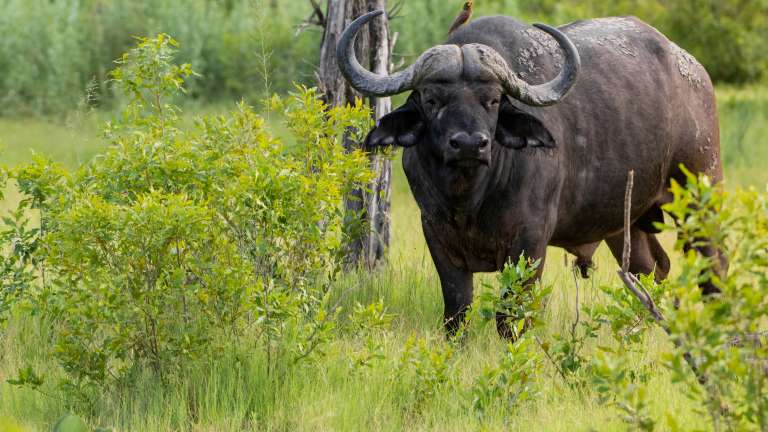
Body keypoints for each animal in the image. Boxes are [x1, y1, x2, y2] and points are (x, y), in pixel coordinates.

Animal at [337, 11, 725, 337]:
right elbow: (456, 311)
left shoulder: (531, 240)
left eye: (493, 100)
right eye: (432, 100)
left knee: (715, 270)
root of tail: (694, 72)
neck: (470, 200)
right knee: (653, 269)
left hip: (701, 197)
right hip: (625, 223)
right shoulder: (436, 234)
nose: (469, 144)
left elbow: (509, 316)